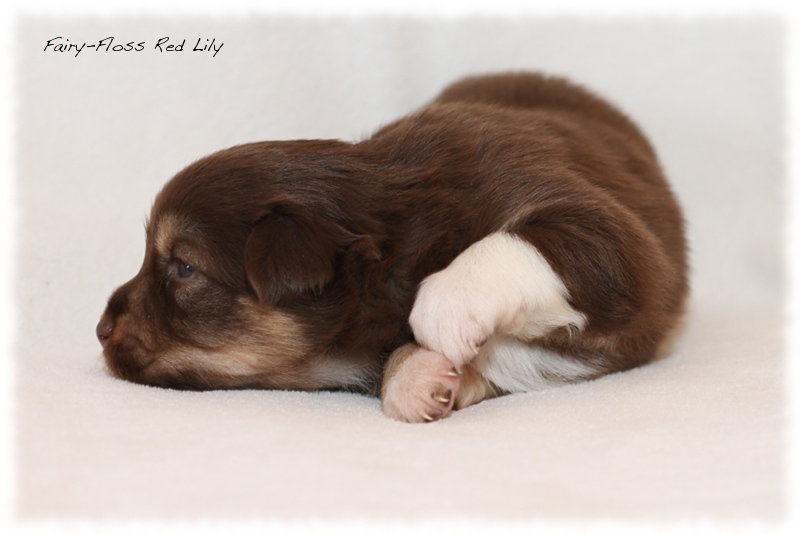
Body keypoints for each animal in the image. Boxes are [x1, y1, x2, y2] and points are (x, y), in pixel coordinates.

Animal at [95, 74, 688, 424]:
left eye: (183, 268)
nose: (100, 329)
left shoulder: (620, 245)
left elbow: (519, 246)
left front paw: (442, 316)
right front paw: (421, 377)